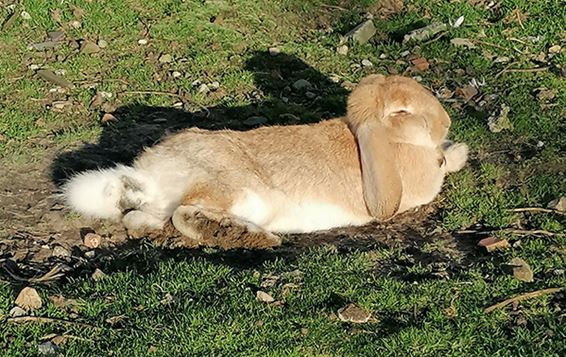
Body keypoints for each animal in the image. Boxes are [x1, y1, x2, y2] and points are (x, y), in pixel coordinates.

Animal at [63, 74, 470, 246]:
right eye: (402, 111)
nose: (447, 122)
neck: (390, 138)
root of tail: (152, 177)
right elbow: (444, 165)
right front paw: (458, 151)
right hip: (236, 189)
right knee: (186, 211)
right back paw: (244, 235)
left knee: (141, 218)